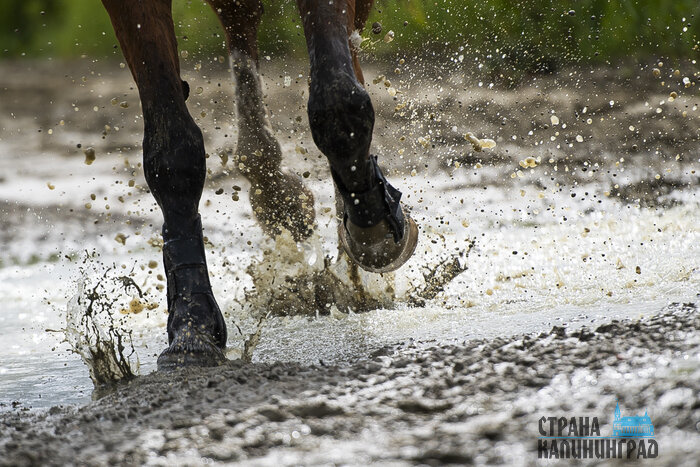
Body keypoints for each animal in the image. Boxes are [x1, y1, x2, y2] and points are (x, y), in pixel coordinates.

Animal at [100, 0, 418, 369]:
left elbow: (338, 101)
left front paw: (374, 228)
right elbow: (171, 151)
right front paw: (192, 326)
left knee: (348, 56)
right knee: (240, 24)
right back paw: (278, 194)